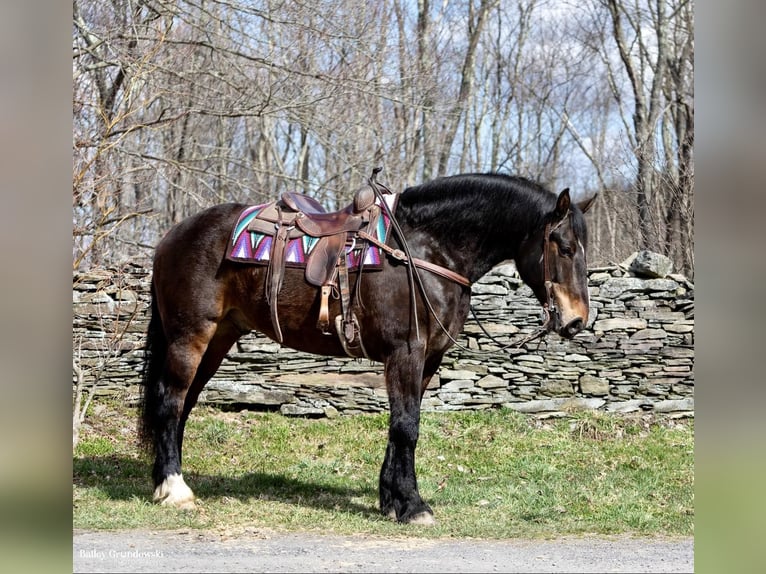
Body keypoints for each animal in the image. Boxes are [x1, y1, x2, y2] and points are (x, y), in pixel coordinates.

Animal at [140, 171, 600, 528]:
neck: (425, 250)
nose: (577, 319)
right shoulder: (405, 353)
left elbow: (402, 427)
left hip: (217, 338)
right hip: (190, 336)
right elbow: (407, 428)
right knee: (169, 401)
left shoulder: (427, 361)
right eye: (563, 246)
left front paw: (391, 501)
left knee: (182, 406)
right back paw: (174, 489)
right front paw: (412, 506)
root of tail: (171, 237)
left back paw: (163, 481)